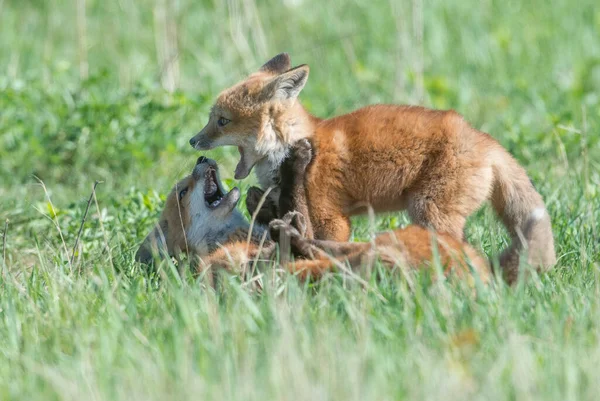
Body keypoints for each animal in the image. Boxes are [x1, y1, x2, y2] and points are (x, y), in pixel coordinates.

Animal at [189, 53, 556, 282]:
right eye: (212, 119)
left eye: (221, 121)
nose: (193, 142)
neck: (291, 145)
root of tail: (486, 141)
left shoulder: (331, 218)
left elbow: (316, 241)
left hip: (429, 212)